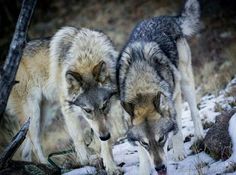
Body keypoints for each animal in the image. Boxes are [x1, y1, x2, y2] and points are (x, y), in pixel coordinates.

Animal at [5, 26, 124, 174]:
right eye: (87, 110)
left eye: (104, 106)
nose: (104, 135)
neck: (86, 55)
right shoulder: (68, 110)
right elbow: (78, 138)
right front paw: (85, 160)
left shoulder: (108, 113)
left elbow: (106, 142)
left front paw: (111, 166)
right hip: (33, 114)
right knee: (35, 143)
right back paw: (49, 167)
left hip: (44, 116)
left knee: (26, 148)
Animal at [116, 0, 205, 174]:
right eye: (145, 143)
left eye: (161, 138)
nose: (160, 168)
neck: (141, 86)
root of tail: (168, 18)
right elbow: (142, 155)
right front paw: (144, 170)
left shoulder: (174, 98)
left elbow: (177, 128)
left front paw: (179, 153)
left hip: (185, 81)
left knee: (194, 111)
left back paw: (199, 136)